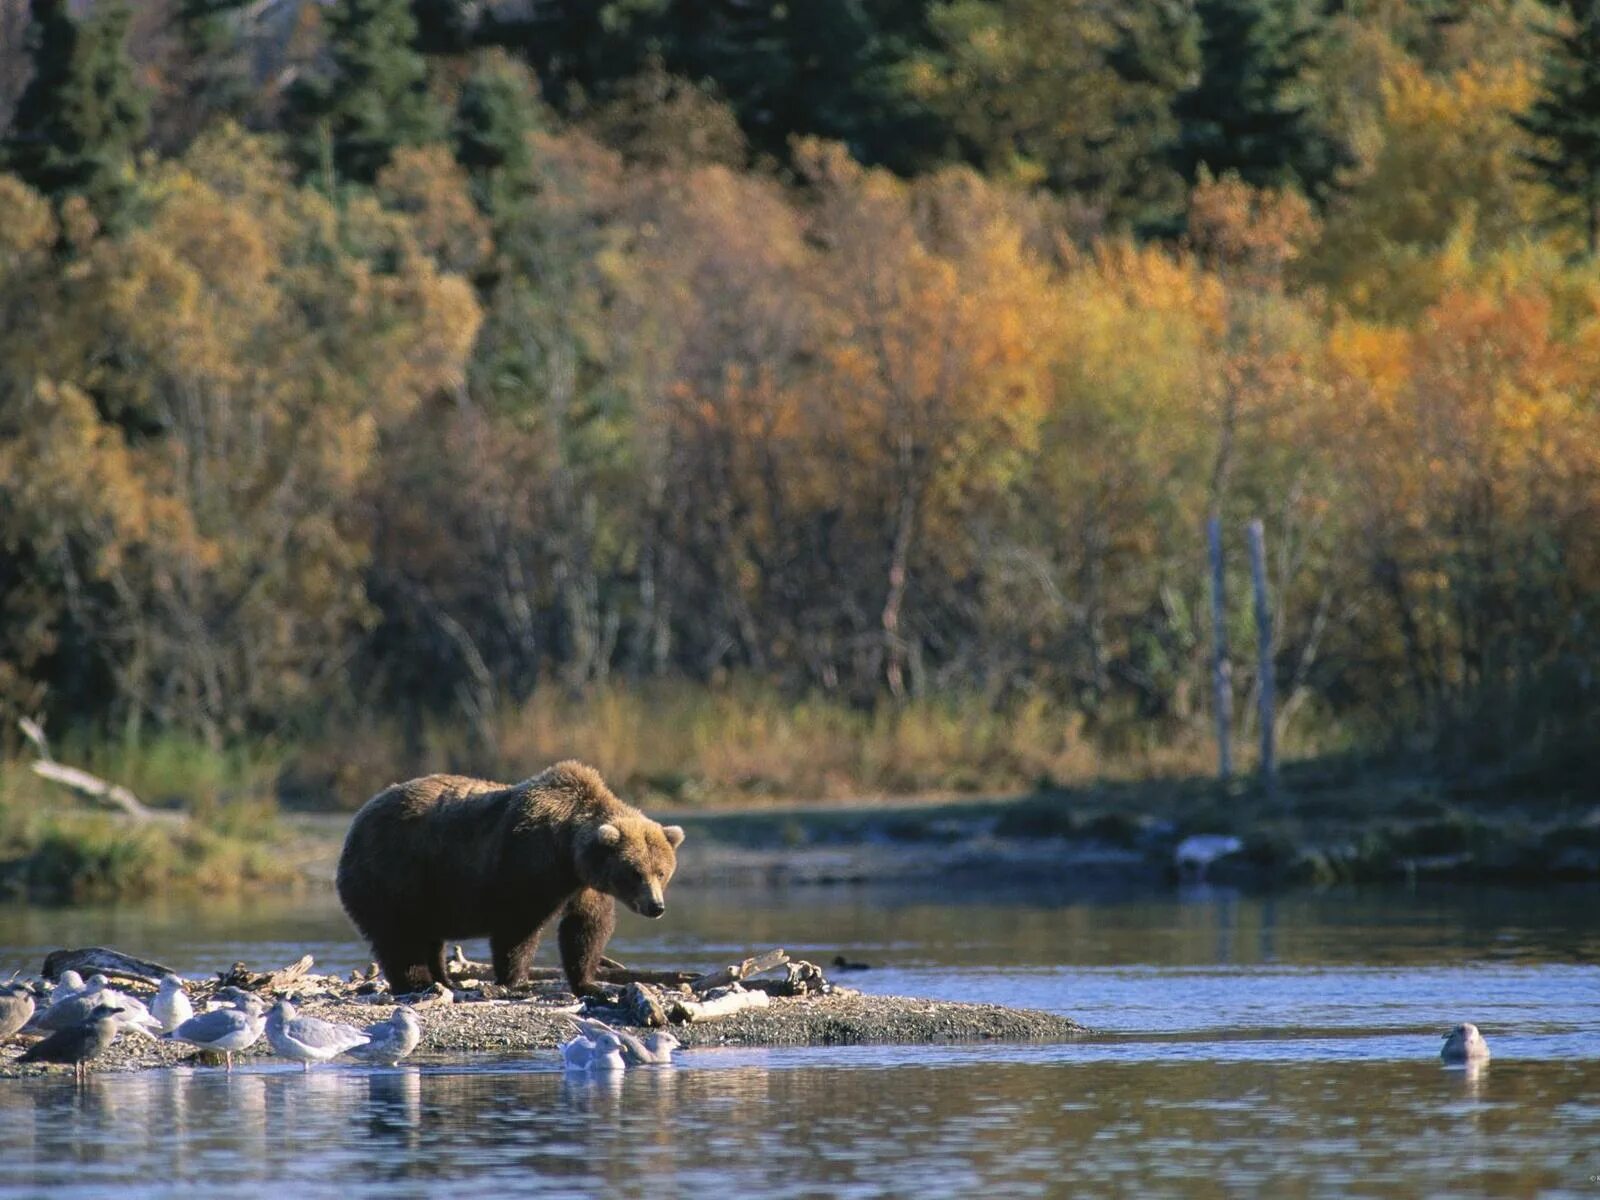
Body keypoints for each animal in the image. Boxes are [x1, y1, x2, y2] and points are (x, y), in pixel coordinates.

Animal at [334, 764, 684, 998]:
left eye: (661, 871)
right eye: (635, 872)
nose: (656, 906)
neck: (568, 850)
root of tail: (357, 820)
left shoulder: (582, 884)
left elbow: (586, 927)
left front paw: (590, 983)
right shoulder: (525, 862)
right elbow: (518, 928)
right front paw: (516, 981)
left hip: (427, 889)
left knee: (428, 935)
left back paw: (444, 979)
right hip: (393, 871)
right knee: (398, 933)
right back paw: (417, 981)